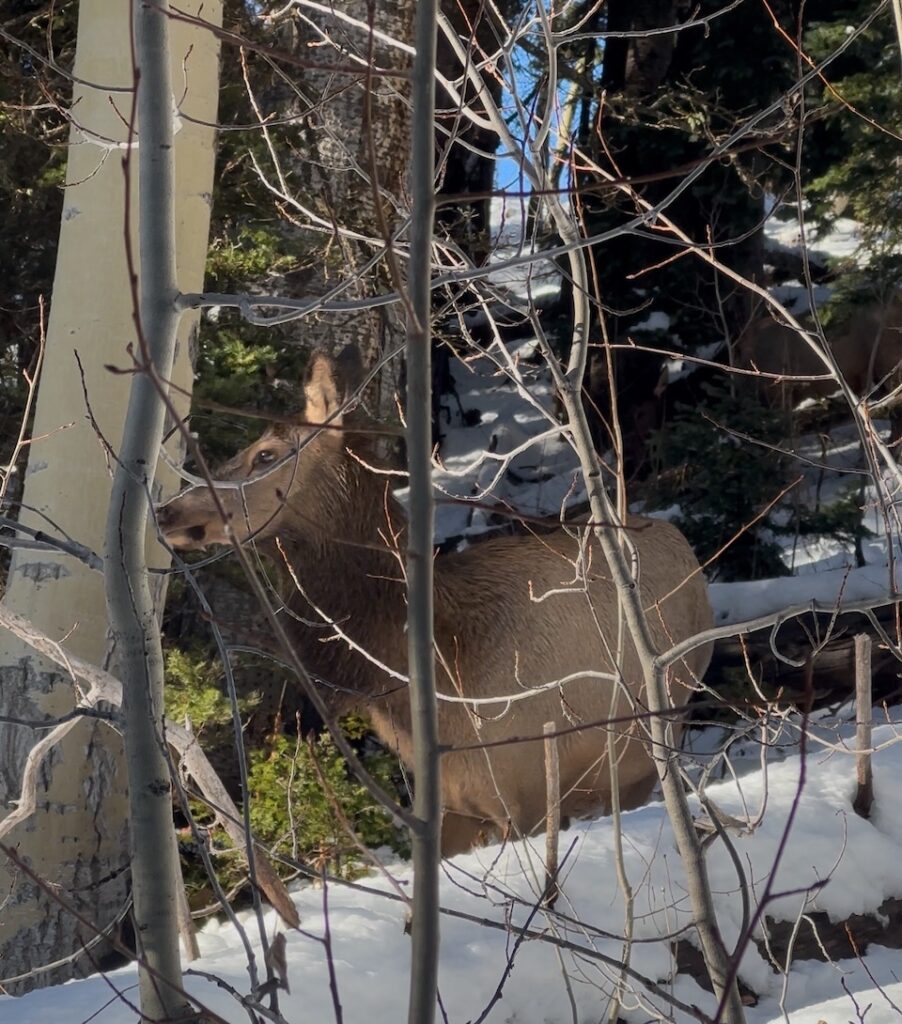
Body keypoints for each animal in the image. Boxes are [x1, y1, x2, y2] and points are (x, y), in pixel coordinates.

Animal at [158, 352, 712, 856]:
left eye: (266, 455)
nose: (167, 511)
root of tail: (684, 546)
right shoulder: (452, 804)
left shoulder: (526, 793)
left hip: (650, 745)